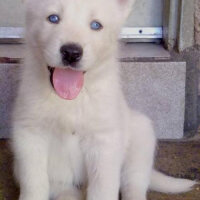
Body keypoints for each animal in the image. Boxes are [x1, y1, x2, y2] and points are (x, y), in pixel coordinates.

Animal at [12, 0, 197, 200]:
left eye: (96, 25)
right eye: (53, 18)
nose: (71, 53)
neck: (72, 99)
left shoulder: (105, 141)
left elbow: (103, 188)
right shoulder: (29, 134)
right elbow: (34, 182)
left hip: (141, 135)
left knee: (134, 182)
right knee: (62, 190)